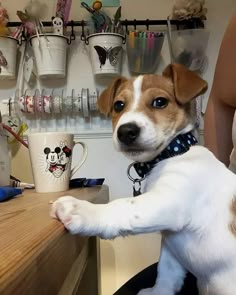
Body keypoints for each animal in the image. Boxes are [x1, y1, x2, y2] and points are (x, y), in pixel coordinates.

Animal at [51, 65, 236, 295]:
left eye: (160, 102)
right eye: (118, 105)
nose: (126, 131)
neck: (172, 154)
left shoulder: (170, 200)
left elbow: (123, 206)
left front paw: (82, 210)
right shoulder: (171, 243)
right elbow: (167, 272)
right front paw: (159, 292)